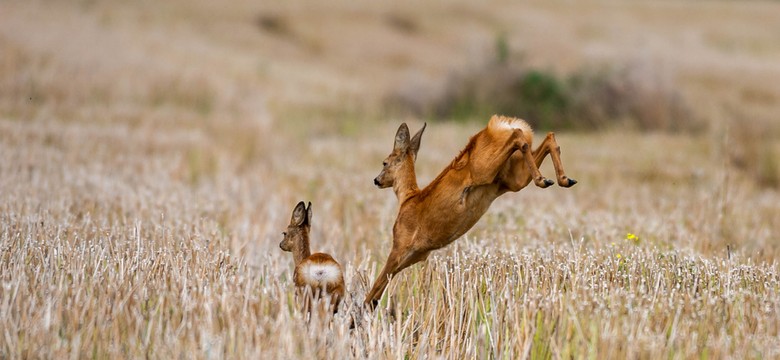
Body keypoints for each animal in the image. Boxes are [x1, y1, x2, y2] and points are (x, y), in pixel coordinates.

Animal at [364, 114, 572, 306]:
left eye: (384, 162)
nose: (376, 180)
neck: (407, 198)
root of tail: (498, 124)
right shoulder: (416, 255)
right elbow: (378, 291)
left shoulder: (400, 245)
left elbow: (375, 287)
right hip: (513, 179)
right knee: (547, 137)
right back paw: (562, 179)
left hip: (484, 168)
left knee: (518, 135)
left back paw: (543, 178)